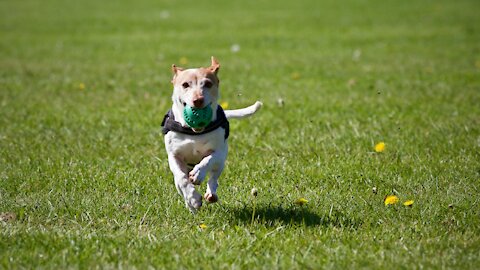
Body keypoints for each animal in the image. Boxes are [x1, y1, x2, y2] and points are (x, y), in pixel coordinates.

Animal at [162, 57, 262, 212]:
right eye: (185, 85)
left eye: (208, 84)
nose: (198, 100)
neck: (194, 132)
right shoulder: (174, 155)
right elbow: (182, 179)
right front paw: (193, 199)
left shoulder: (219, 152)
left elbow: (208, 160)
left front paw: (198, 173)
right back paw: (190, 205)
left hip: (220, 163)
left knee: (214, 178)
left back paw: (211, 194)